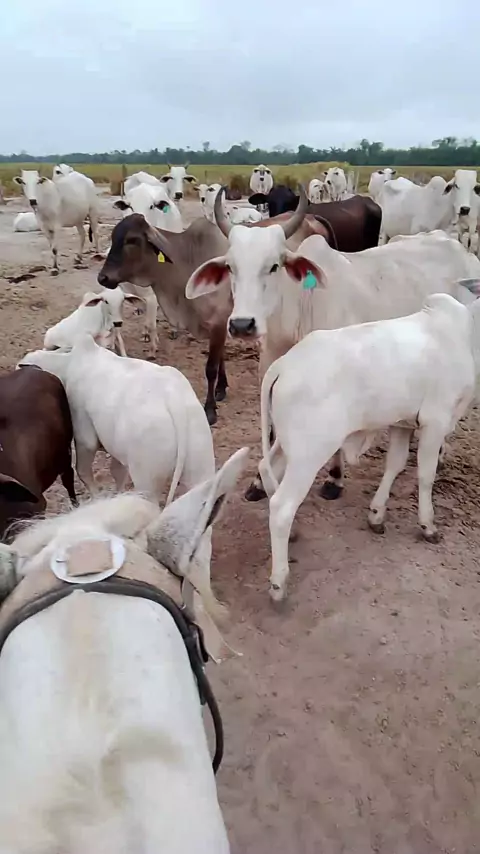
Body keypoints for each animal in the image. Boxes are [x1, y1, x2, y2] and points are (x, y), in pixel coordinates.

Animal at [97, 206, 335, 425]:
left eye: (132, 240)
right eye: (114, 237)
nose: (103, 277)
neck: (187, 258)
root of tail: (311, 216)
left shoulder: (219, 321)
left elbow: (211, 367)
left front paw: (210, 409)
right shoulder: (223, 322)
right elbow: (220, 359)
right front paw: (222, 388)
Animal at [185, 187, 480, 499]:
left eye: (274, 266)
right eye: (230, 267)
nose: (242, 324)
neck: (301, 309)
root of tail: (462, 251)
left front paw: (334, 478)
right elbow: (274, 431)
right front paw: (259, 483)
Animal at [258, 294, 476, 601]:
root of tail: (283, 365)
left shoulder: (402, 424)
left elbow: (394, 465)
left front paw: (376, 515)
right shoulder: (436, 420)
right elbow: (425, 476)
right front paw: (428, 526)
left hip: (289, 446)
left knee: (266, 469)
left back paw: (293, 533)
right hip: (309, 454)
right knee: (281, 506)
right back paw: (279, 583)